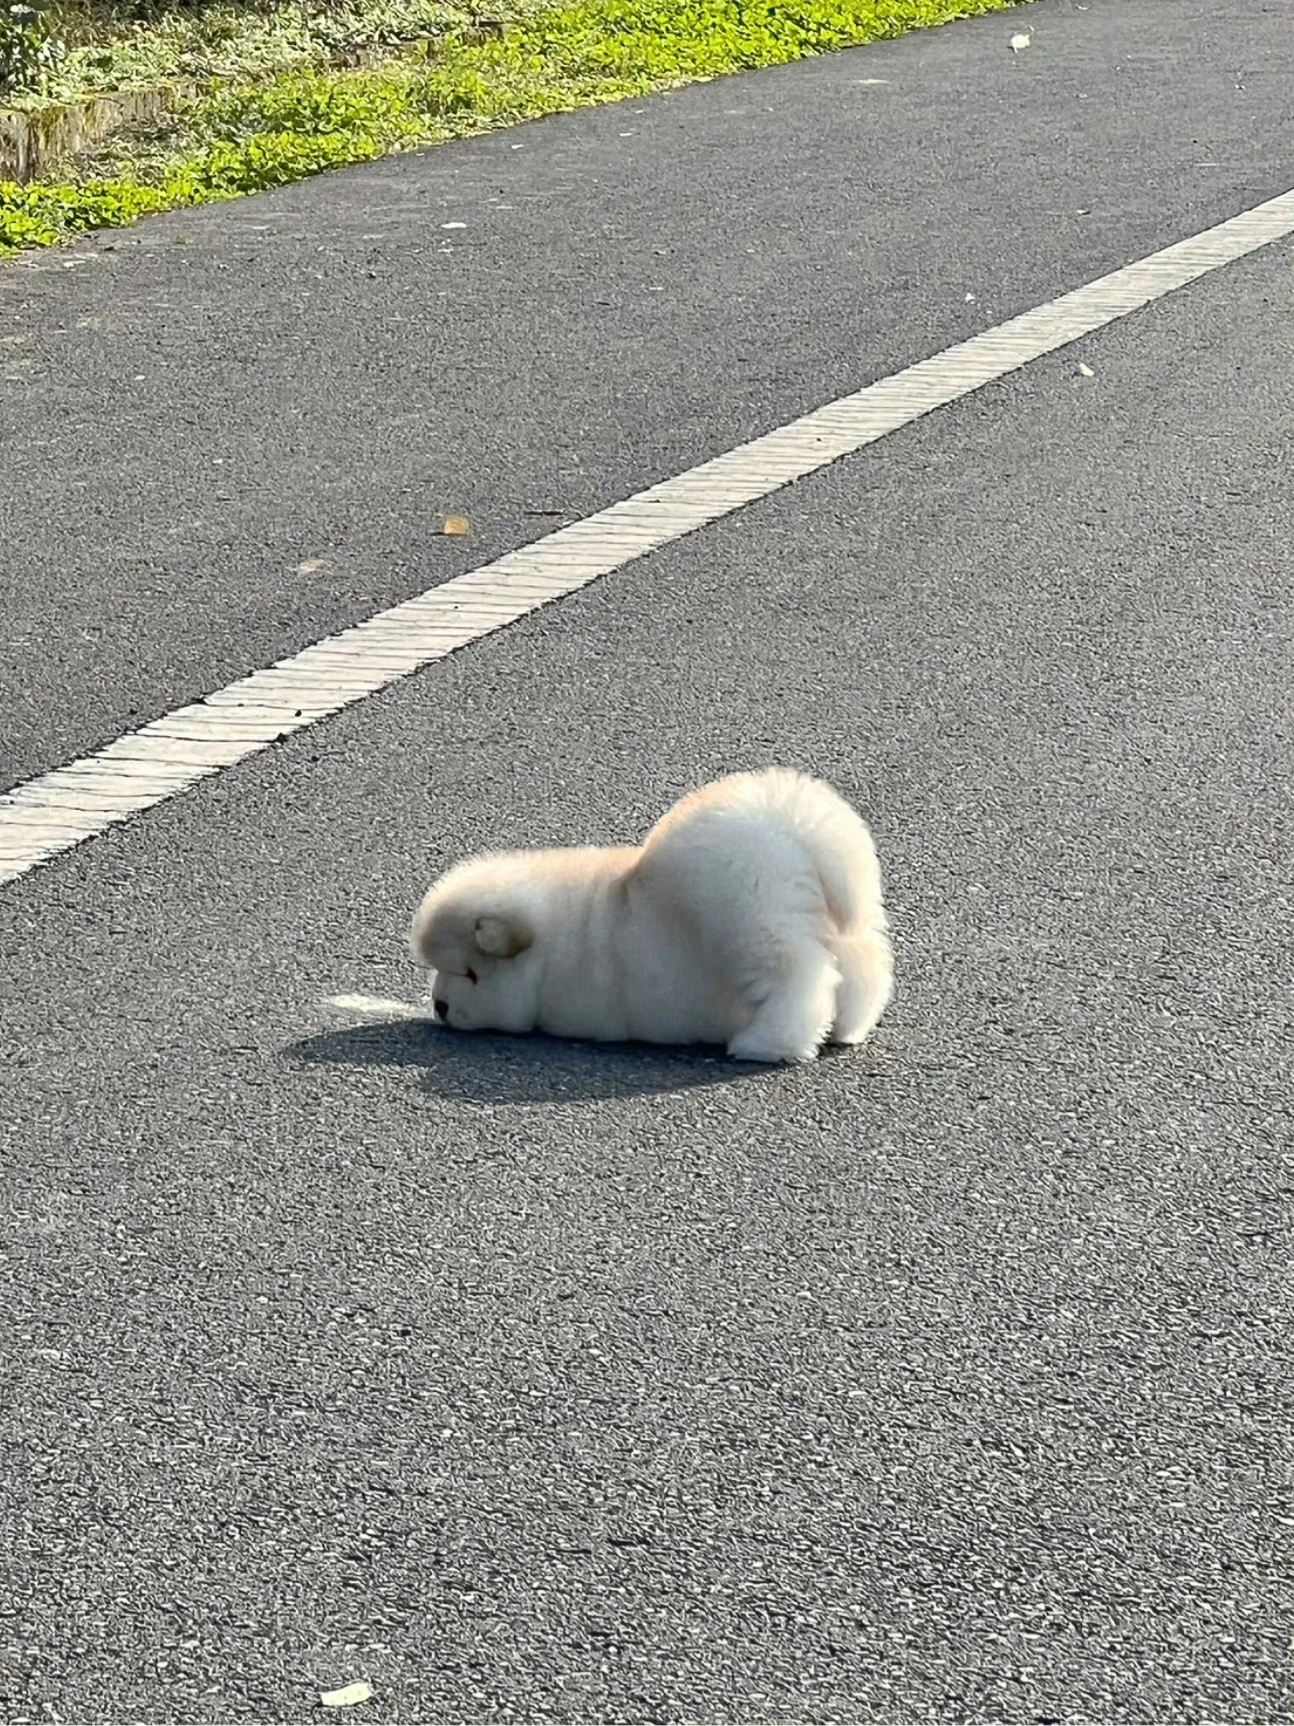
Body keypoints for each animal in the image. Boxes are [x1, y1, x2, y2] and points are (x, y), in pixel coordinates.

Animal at [412, 769, 890, 1063]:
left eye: (471, 974)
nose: (440, 1006)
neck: (550, 952)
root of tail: (789, 825)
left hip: (757, 925)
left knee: (801, 982)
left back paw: (765, 1044)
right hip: (841, 925)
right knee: (859, 971)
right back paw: (846, 1026)